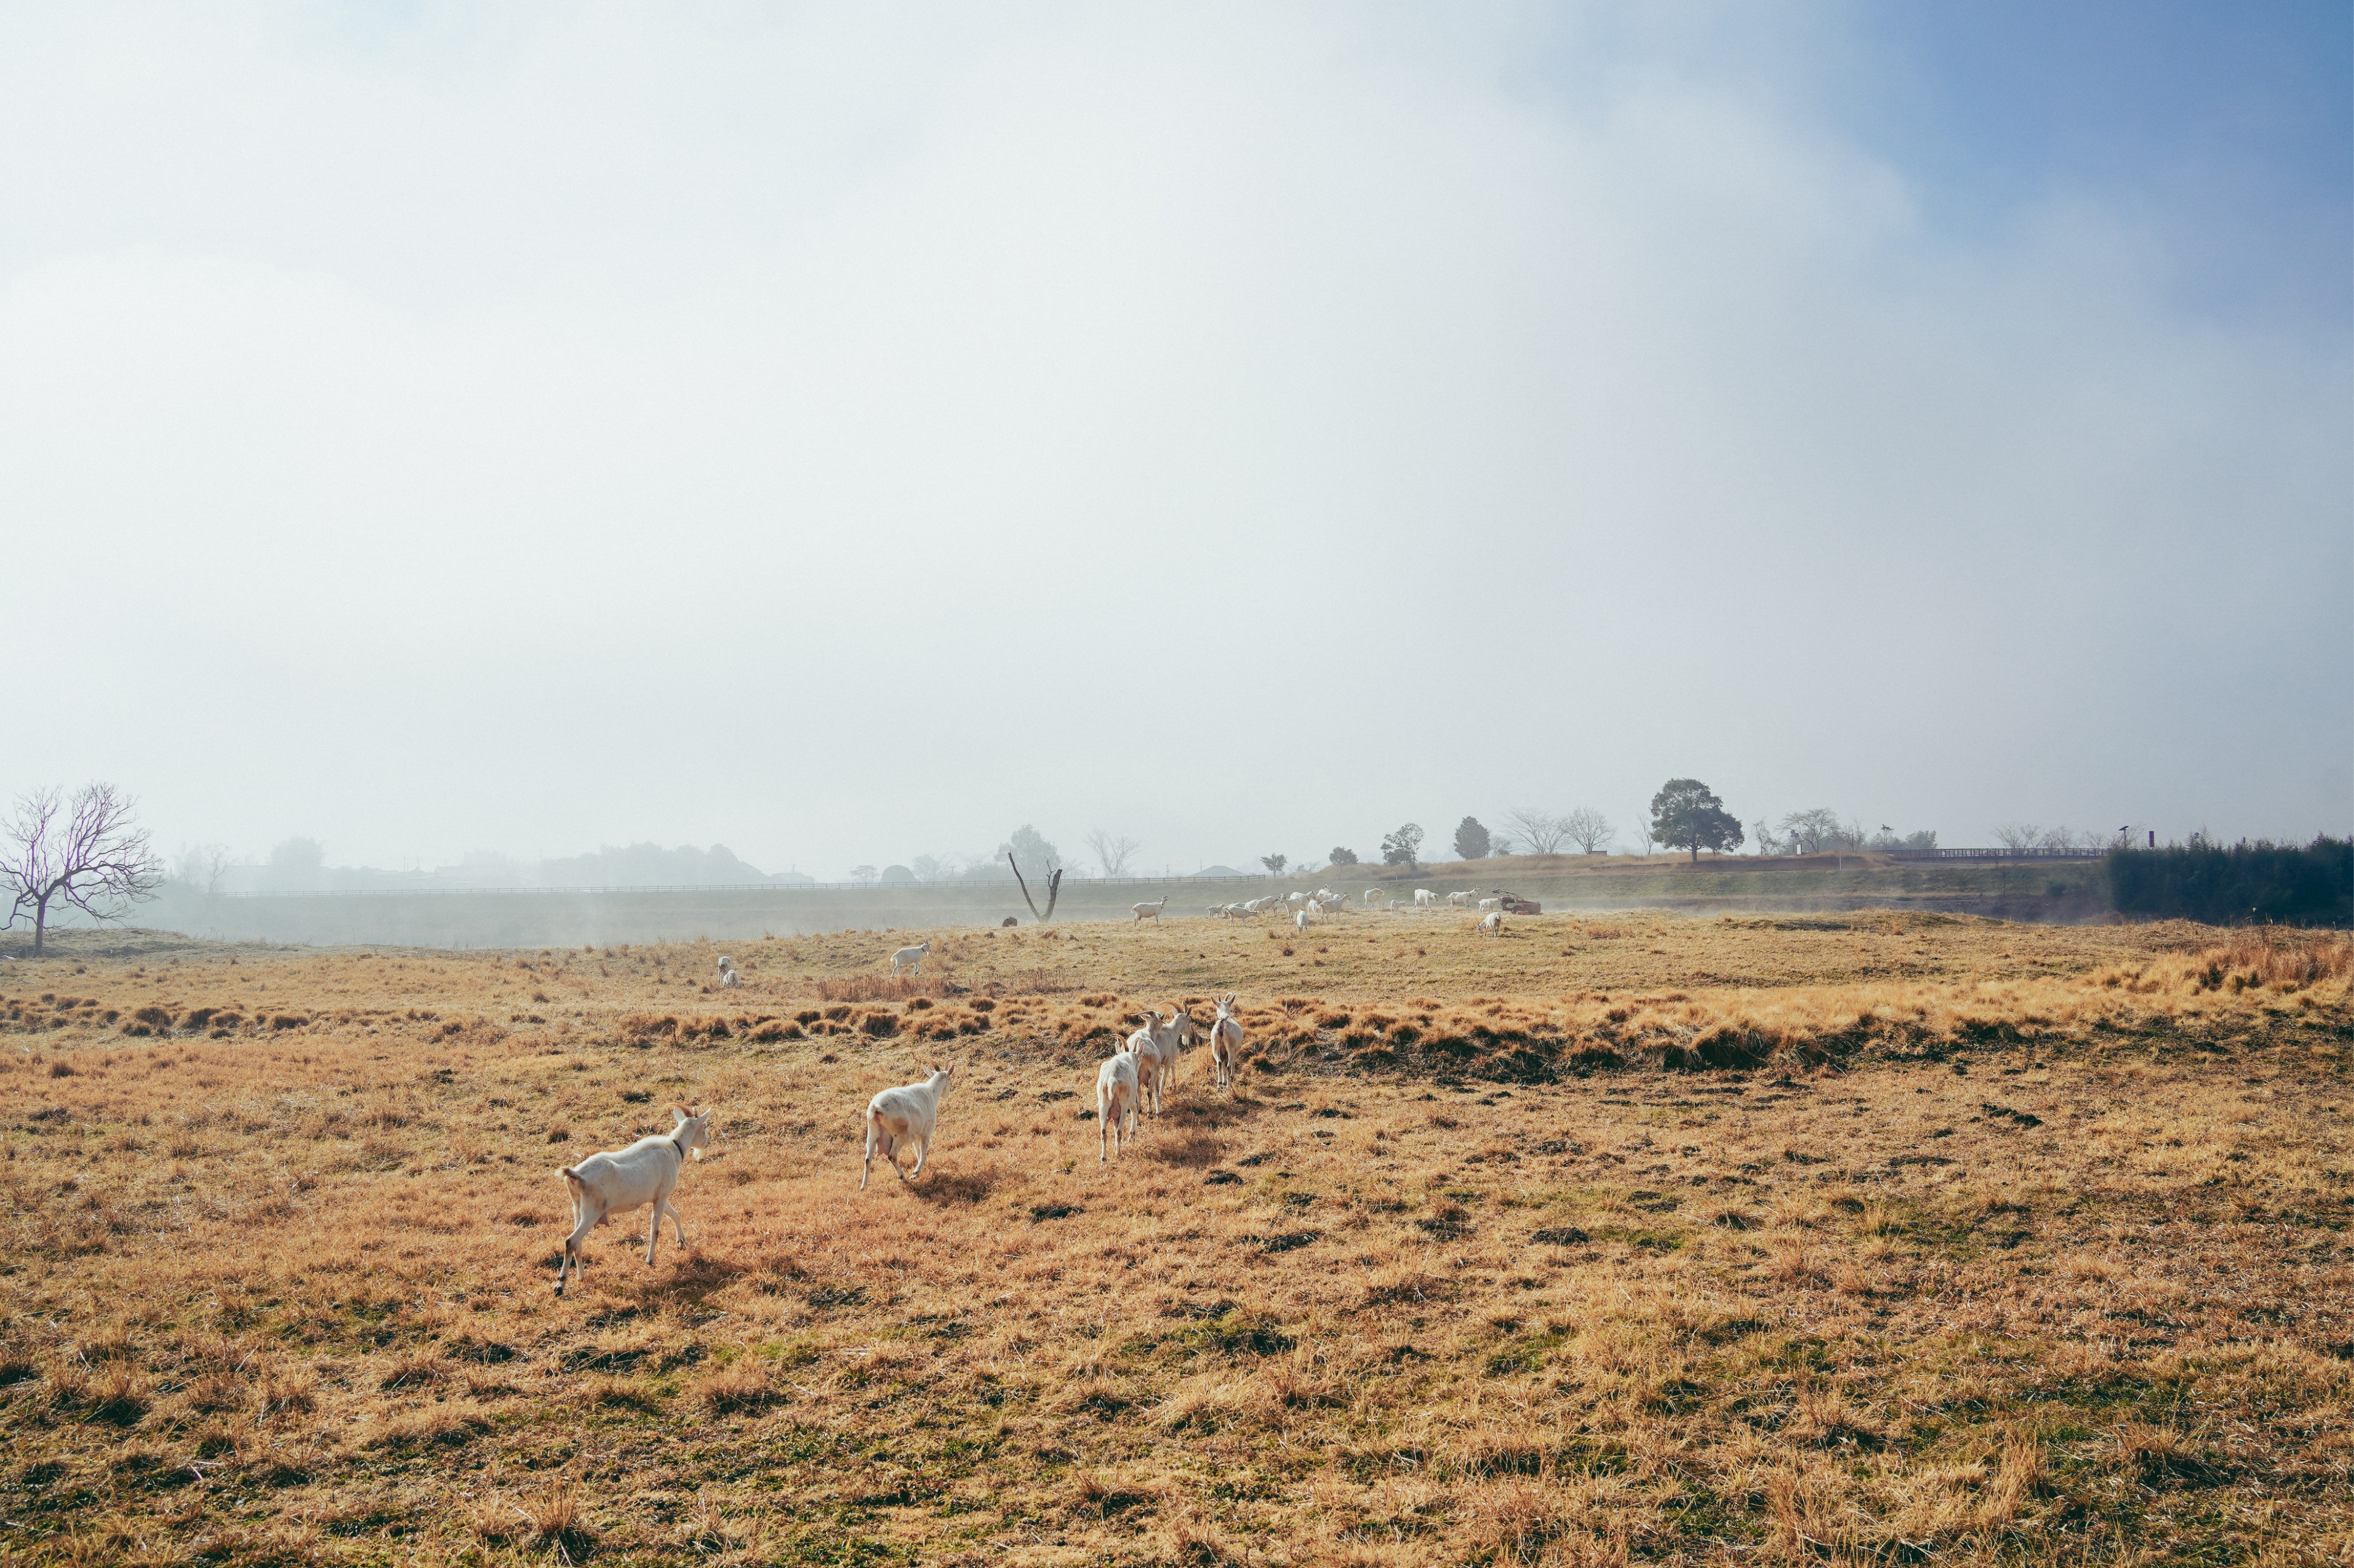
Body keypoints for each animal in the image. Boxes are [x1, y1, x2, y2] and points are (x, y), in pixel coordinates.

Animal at [555, 1097, 711, 1290]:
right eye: (705, 1126)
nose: (708, 1142)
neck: (674, 1148)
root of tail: (577, 1175)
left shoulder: (658, 1197)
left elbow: (675, 1214)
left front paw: (682, 1242)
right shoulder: (661, 1198)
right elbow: (655, 1230)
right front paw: (650, 1261)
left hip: (578, 1208)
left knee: (578, 1243)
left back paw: (581, 1277)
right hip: (592, 1211)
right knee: (571, 1241)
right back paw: (560, 1285)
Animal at [857, 1064, 955, 1186]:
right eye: (950, 1079)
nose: (948, 1094)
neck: (931, 1092)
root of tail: (877, 1108)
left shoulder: (916, 1136)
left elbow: (918, 1152)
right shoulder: (926, 1133)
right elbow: (923, 1153)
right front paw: (915, 1174)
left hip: (873, 1133)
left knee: (867, 1159)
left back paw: (863, 1186)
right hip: (899, 1135)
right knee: (892, 1156)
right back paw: (903, 1178)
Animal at [1097, 1045, 1143, 1153]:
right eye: (1138, 1060)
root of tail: (1112, 1080)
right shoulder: (1132, 1101)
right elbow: (1134, 1113)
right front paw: (1132, 1137)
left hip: (1103, 1105)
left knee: (1103, 1133)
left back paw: (1103, 1157)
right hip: (1124, 1105)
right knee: (1119, 1131)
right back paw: (1118, 1153)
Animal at [1214, 988, 1252, 1087]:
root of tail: (1222, 1023)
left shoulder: (1223, 1051)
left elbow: (1223, 1063)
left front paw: (1224, 1081)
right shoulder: (1235, 1049)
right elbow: (1233, 1062)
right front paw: (1232, 1077)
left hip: (1215, 1047)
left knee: (1219, 1063)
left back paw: (1219, 1085)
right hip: (1230, 1047)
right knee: (1228, 1065)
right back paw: (1228, 1085)